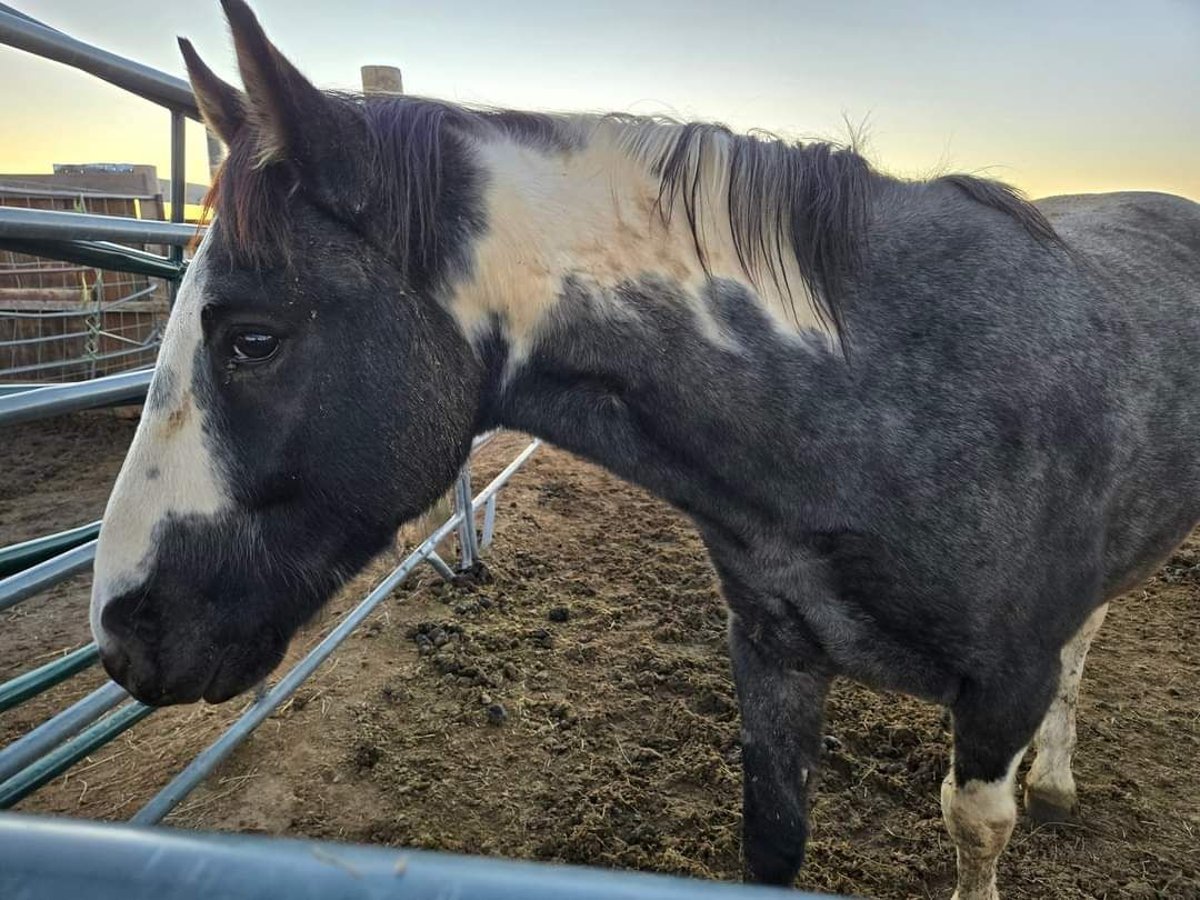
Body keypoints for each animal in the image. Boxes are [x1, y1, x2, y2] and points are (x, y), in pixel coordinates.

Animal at [87, 3, 1200, 897]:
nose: (123, 638)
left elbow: (978, 825)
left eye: (252, 339)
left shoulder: (1004, 686)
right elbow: (771, 841)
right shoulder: (774, 653)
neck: (892, 395)